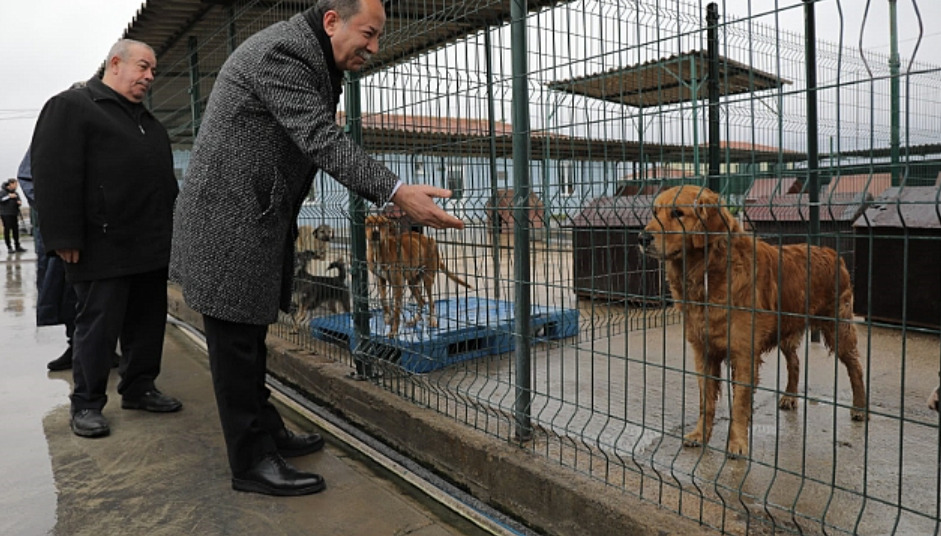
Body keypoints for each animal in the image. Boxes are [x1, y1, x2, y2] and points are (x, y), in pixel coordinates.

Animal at [640, 186, 868, 458]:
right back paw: (790, 397)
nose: (642, 238)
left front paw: (737, 443)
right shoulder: (703, 351)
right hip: (786, 331)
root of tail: (833, 253)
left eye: (678, 213)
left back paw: (860, 407)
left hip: (838, 330)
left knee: (855, 367)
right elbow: (706, 401)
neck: (708, 272)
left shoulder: (744, 354)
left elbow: (739, 403)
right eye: (655, 212)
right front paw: (699, 435)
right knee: (795, 362)